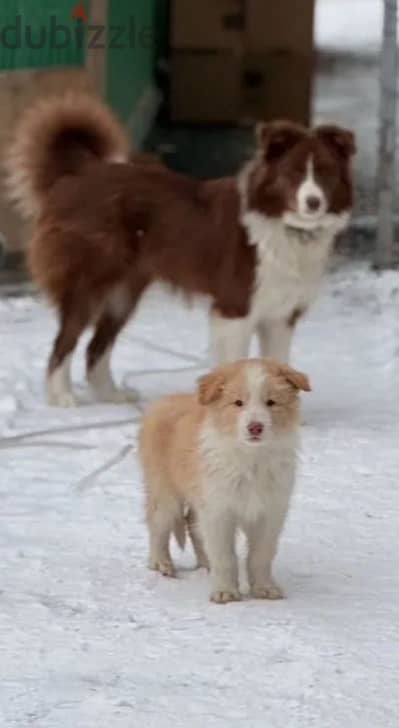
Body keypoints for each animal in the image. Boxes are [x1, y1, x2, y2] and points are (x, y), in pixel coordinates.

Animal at [5, 94, 356, 406]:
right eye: (294, 172)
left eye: (325, 172)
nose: (313, 202)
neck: (285, 226)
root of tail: (76, 175)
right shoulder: (236, 309)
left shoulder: (280, 315)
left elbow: (277, 364)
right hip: (90, 283)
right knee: (64, 342)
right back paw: (61, 397)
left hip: (123, 293)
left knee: (96, 345)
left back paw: (110, 395)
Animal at [139, 356, 310, 604]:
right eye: (238, 403)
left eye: (271, 402)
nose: (255, 427)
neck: (250, 458)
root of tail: (165, 400)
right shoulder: (218, 510)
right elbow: (224, 556)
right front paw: (225, 592)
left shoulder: (270, 511)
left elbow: (261, 555)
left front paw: (265, 588)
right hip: (164, 489)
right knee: (158, 523)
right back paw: (161, 564)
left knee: (192, 524)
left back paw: (205, 565)